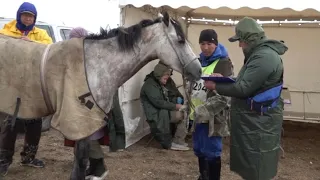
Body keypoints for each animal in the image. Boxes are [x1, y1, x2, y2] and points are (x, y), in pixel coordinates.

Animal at [0, 11, 201, 179]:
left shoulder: (88, 124)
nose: (198, 70)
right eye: (180, 40)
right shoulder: (80, 121)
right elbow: (80, 162)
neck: (95, 66)